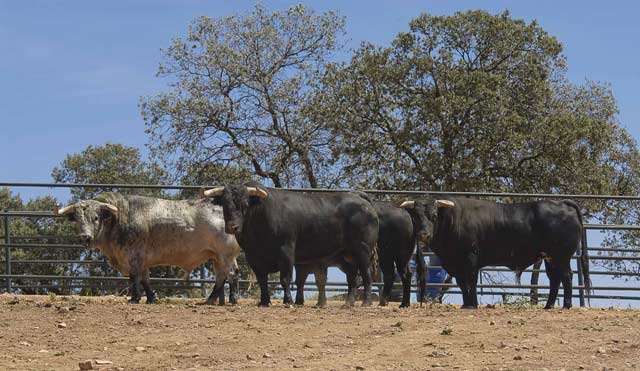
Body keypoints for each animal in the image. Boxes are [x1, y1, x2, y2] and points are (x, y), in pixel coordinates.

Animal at [53, 192, 240, 306]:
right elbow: (145, 279)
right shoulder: (142, 259)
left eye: (96, 217)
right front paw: (151, 297)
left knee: (227, 275)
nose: (85, 237)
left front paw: (134, 298)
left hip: (224, 255)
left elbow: (134, 278)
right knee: (227, 275)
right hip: (219, 256)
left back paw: (222, 299)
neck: (119, 218)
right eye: (77, 219)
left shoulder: (134, 256)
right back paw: (221, 299)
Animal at [202, 183, 378, 308]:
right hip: (346, 255)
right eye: (225, 204)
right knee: (353, 278)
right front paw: (264, 301)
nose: (232, 227)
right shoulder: (254, 257)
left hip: (363, 250)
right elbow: (263, 280)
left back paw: (366, 302)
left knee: (366, 275)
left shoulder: (285, 252)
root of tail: (359, 197)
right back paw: (348, 303)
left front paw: (288, 301)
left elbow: (285, 278)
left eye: (245, 204)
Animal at [400, 199, 592, 310]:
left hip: (562, 256)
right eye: (416, 216)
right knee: (555, 279)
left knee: (566, 276)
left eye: (434, 216)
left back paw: (566, 305)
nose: (423, 234)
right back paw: (548, 306)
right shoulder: (457, 263)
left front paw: (472, 305)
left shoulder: (471, 257)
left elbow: (470, 281)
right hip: (550, 258)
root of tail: (563, 203)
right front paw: (466, 304)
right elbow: (462, 284)